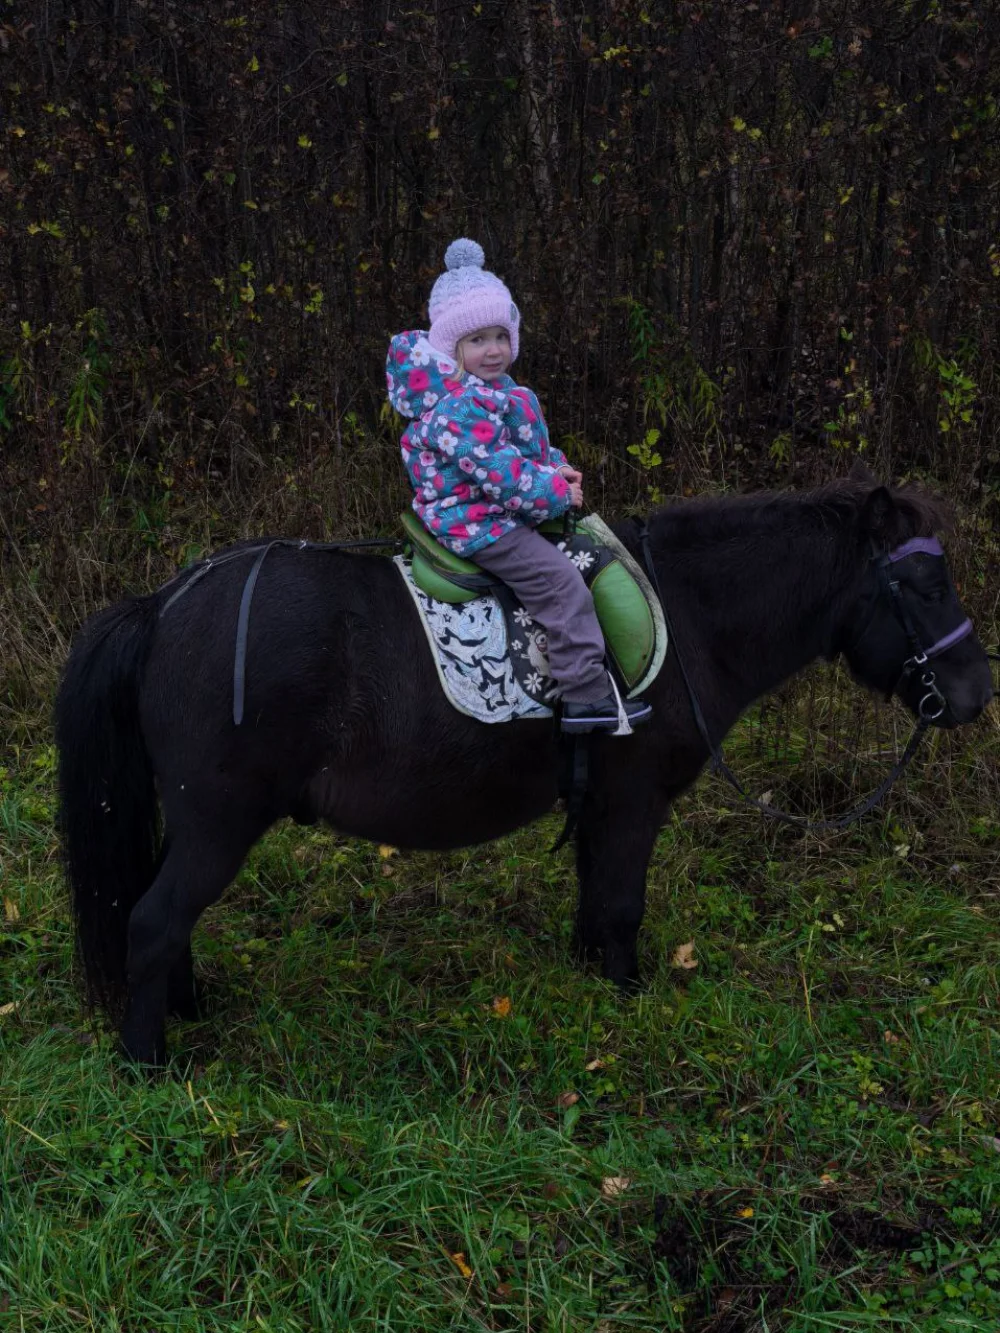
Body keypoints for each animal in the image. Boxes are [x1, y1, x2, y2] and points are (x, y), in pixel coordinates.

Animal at [54, 477, 993, 1065]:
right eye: (924, 582)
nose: (976, 690)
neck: (687, 615)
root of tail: (164, 603)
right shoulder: (634, 799)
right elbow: (621, 905)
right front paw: (627, 998)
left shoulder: (603, 801)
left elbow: (594, 900)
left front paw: (595, 983)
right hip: (219, 820)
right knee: (153, 920)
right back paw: (149, 1061)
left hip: (192, 821)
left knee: (162, 917)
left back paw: (186, 1008)